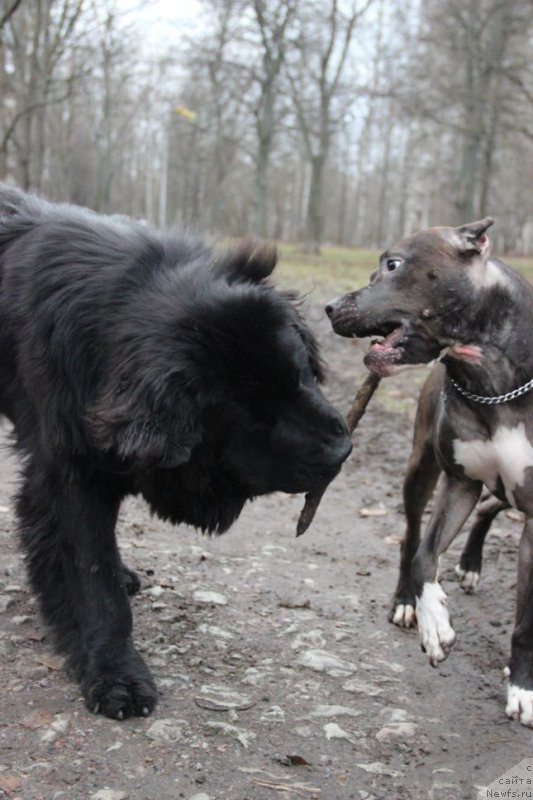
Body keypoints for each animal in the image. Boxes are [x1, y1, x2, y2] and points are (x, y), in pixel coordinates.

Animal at [0, 186, 352, 720]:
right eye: (252, 417)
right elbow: (92, 576)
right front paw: (116, 674)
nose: (342, 448)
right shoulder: (68, 470)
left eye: (302, 376)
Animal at [326, 217, 533, 724]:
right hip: (420, 470)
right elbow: (424, 555)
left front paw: (522, 687)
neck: (494, 380)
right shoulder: (459, 484)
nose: (331, 306)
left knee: (492, 508)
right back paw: (411, 600)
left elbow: (525, 623)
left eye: (393, 264)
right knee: (411, 537)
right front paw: (433, 621)